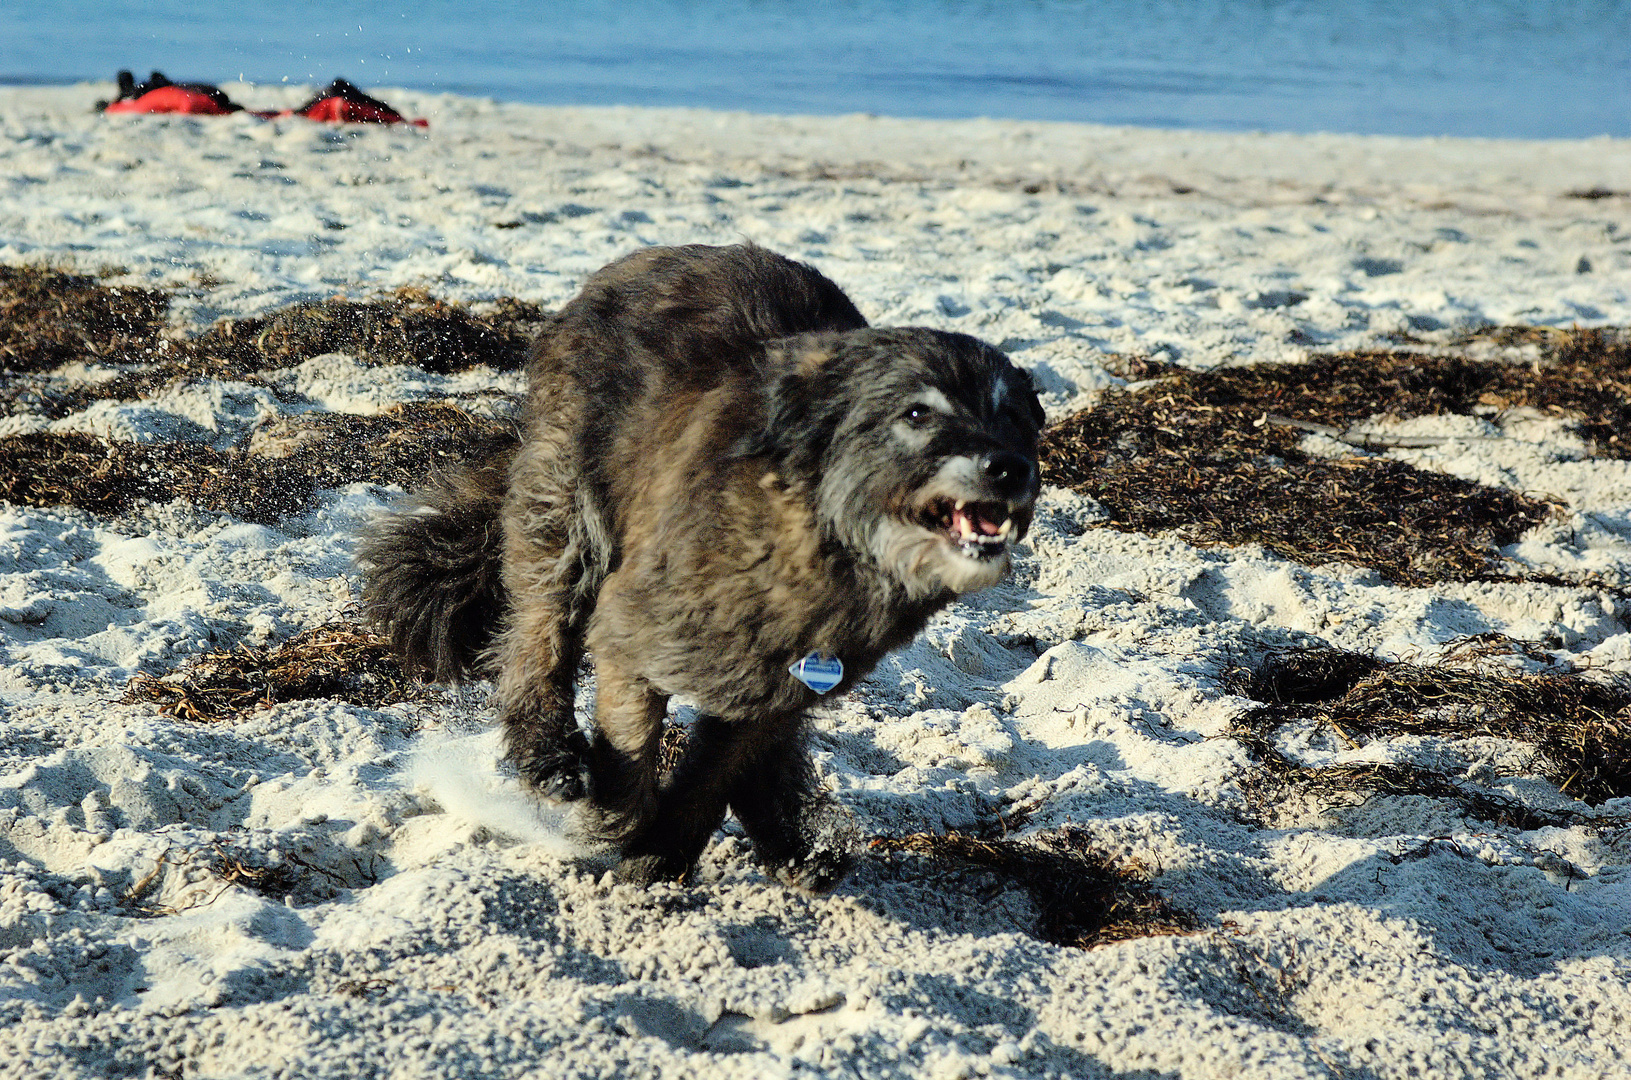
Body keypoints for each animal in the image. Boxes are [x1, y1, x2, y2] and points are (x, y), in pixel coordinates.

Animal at [357, 247, 1043, 894]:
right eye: (918, 414)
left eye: (1012, 416)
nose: (1007, 467)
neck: (811, 533)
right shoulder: (631, 637)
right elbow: (633, 753)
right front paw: (620, 830)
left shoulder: (788, 685)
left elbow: (716, 772)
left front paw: (666, 852)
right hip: (568, 513)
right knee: (538, 635)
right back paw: (548, 753)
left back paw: (789, 835)